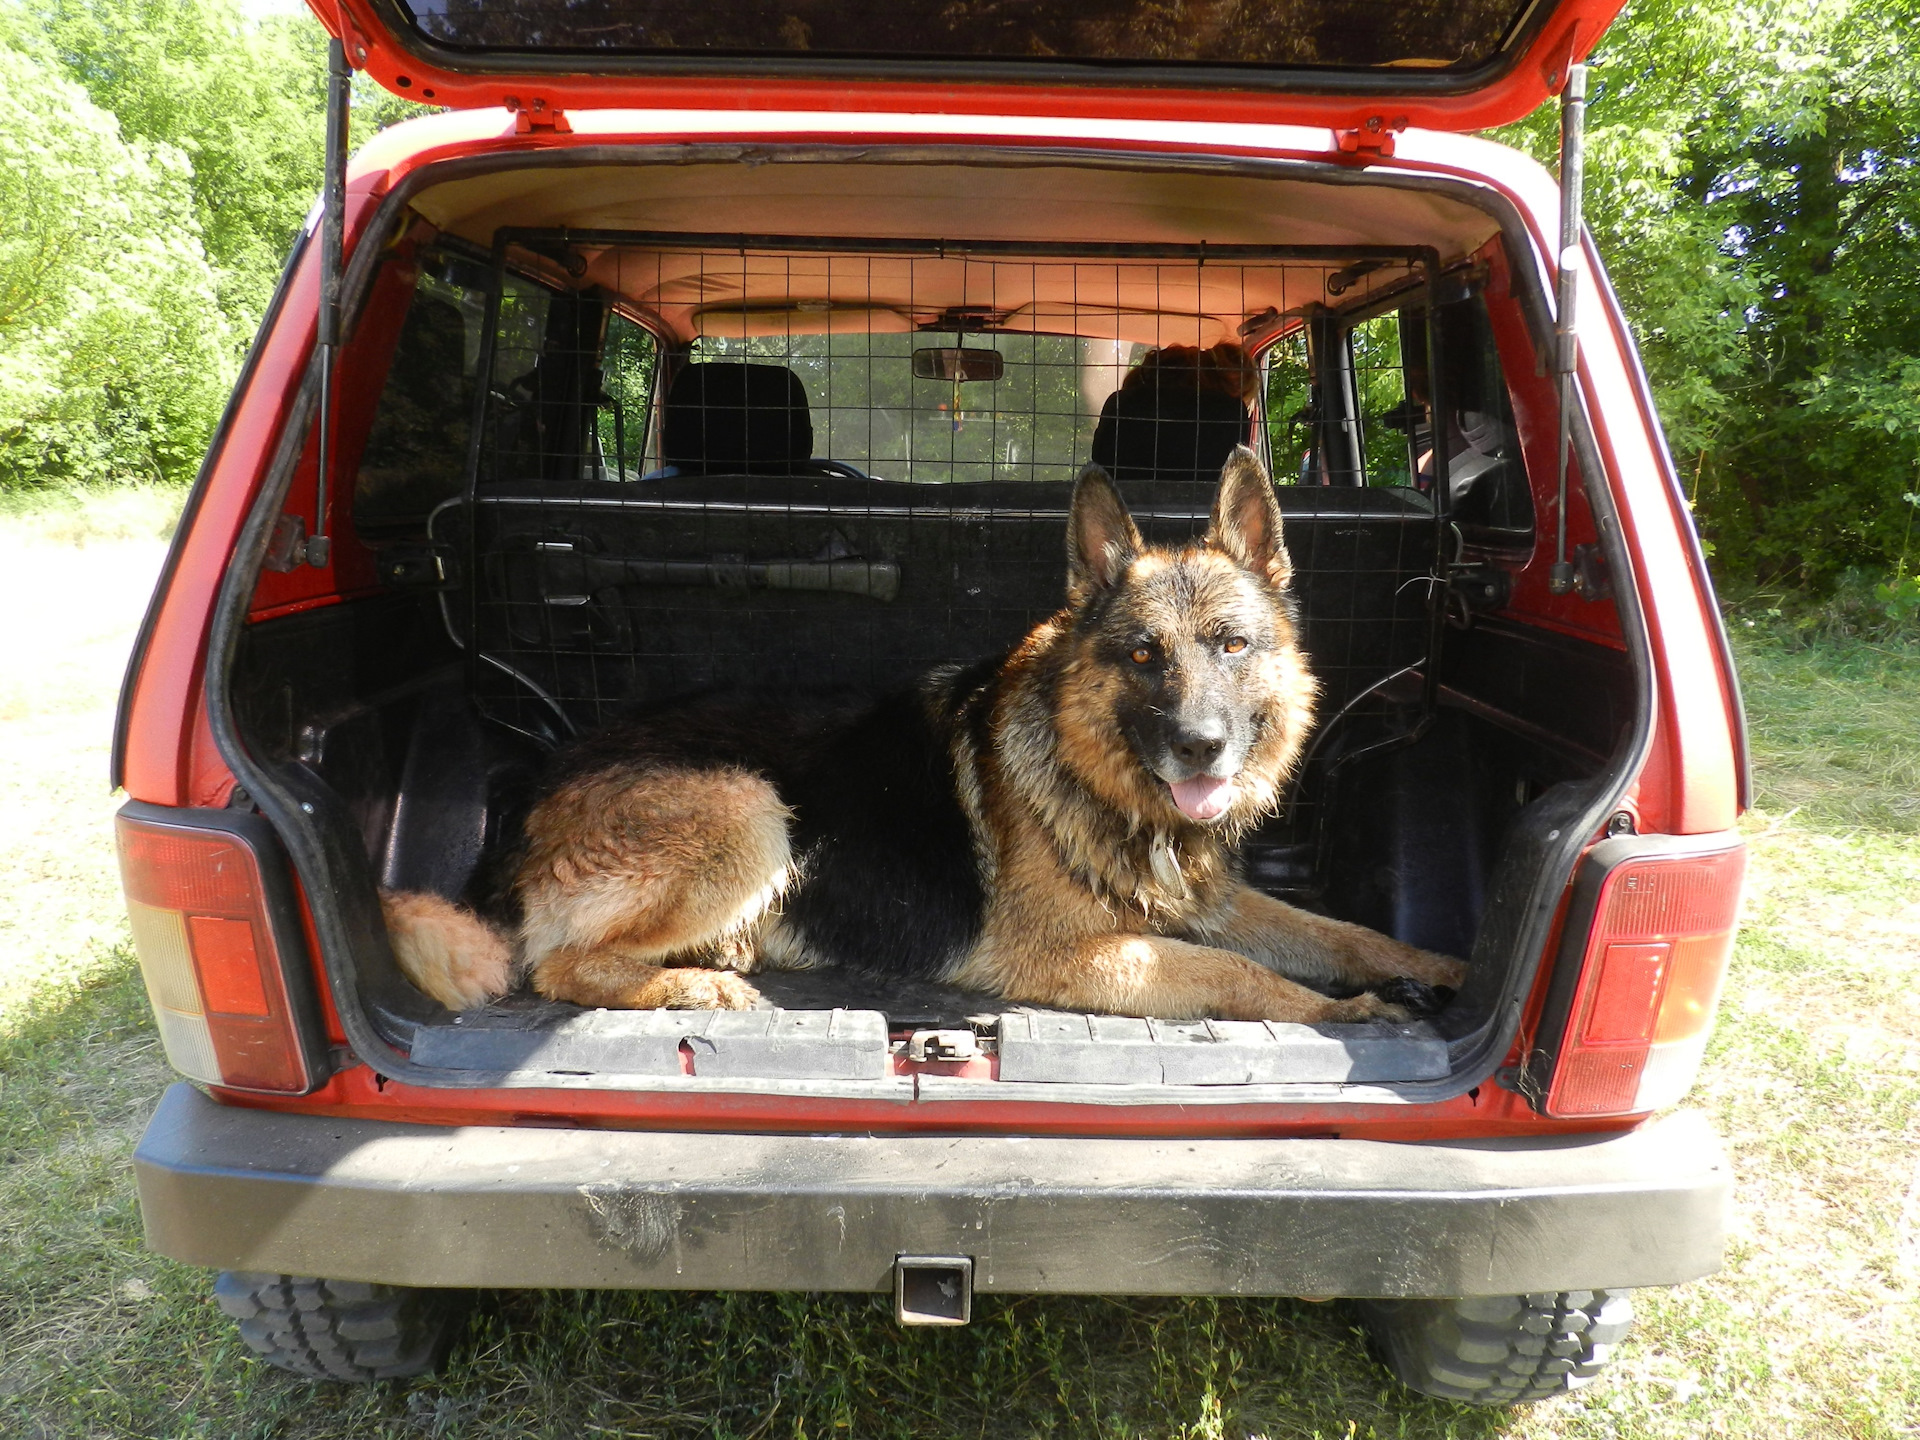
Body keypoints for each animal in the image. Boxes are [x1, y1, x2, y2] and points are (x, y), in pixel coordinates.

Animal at [389, 451, 1466, 1029]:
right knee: (557, 966)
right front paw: (1340, 1012)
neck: (1093, 779)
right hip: (749, 805)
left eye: (1232, 646)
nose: (1202, 748)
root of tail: (532, 801)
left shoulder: (1218, 904)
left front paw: (1439, 966)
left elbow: (1343, 933)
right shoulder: (1069, 957)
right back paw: (694, 981)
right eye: (1143, 654)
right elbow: (1239, 975)